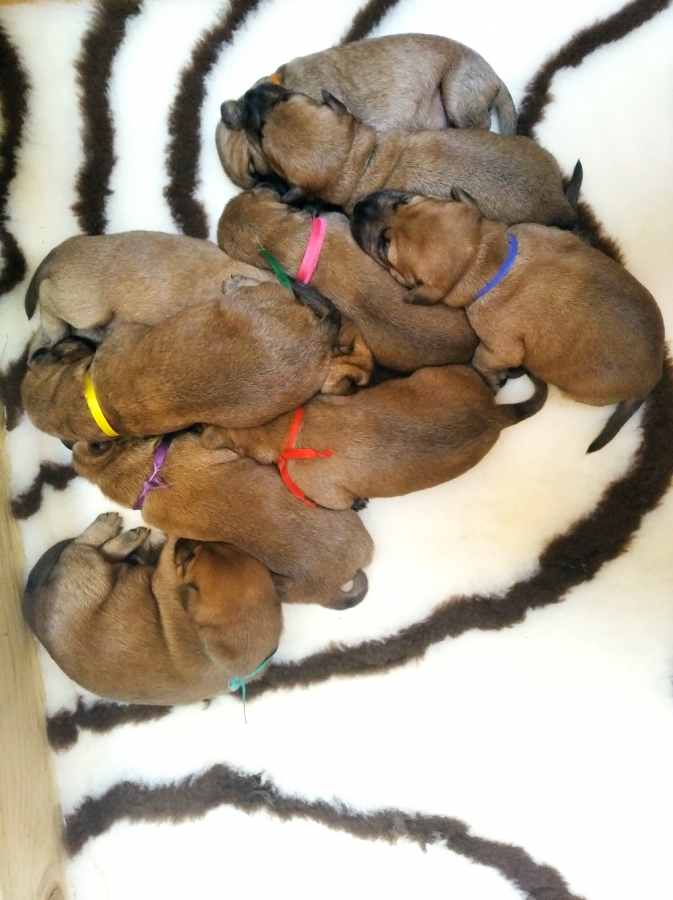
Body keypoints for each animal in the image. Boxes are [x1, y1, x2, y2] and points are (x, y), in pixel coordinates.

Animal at [23, 513, 283, 705]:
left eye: (191, 558)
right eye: (218, 544)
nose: (189, 541)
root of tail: (33, 608)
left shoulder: (164, 576)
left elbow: (167, 553)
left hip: (89, 570)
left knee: (84, 546)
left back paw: (117, 531)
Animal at [352, 191, 666, 452]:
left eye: (384, 246)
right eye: (403, 200)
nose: (358, 206)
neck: (488, 258)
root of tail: (653, 377)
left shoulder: (499, 347)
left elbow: (482, 360)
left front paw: (489, 376)